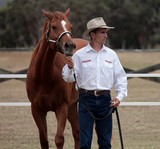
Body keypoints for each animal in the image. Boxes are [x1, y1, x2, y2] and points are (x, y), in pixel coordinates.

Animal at [26, 8, 87, 148]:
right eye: (54, 27)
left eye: (70, 26)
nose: (70, 46)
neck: (44, 77)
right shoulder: (36, 110)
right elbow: (44, 140)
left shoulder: (61, 107)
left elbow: (59, 139)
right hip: (72, 106)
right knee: (77, 134)